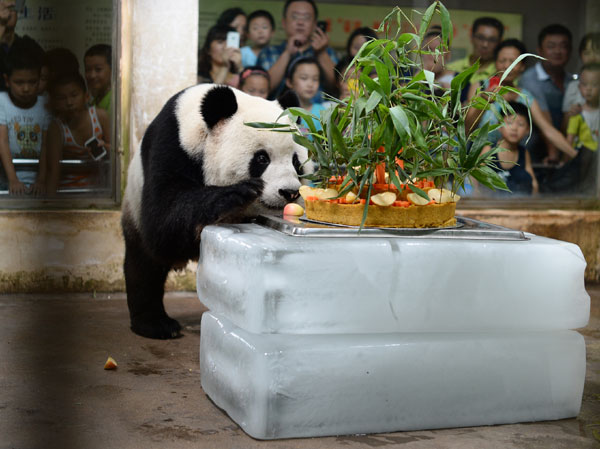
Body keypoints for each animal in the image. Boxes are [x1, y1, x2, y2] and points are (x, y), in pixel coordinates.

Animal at [122, 84, 310, 338]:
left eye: (296, 162)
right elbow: (162, 222)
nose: (289, 192)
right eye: (262, 158)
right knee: (144, 266)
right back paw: (156, 325)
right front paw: (236, 194)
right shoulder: (171, 147)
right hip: (133, 207)